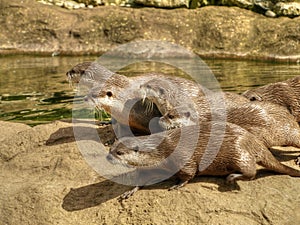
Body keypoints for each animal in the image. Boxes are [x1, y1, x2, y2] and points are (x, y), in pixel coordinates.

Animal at [107, 122, 300, 198]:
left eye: (119, 153)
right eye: (111, 149)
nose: (108, 157)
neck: (160, 151)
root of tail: (253, 140)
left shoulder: (181, 155)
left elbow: (189, 171)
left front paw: (178, 184)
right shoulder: (150, 168)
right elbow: (142, 179)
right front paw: (130, 190)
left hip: (238, 152)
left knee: (251, 171)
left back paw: (231, 177)